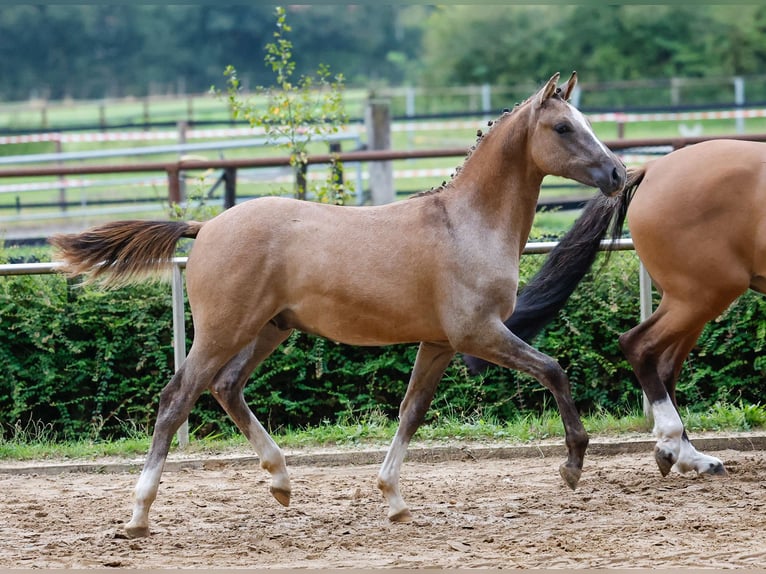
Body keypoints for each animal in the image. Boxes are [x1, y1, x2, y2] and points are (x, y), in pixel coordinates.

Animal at [48, 73, 628, 540]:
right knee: (178, 397)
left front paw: (393, 500)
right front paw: (572, 465)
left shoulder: (439, 343)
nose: (618, 174)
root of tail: (206, 226)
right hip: (223, 330)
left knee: (226, 387)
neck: (465, 224)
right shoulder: (478, 334)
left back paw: (281, 482)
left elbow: (411, 411)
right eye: (563, 128)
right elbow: (552, 370)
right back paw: (139, 514)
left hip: (268, 329)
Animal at [464, 140, 764, 482]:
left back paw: (692, 458)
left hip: (692, 300)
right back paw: (671, 446)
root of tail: (651, 169)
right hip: (702, 296)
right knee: (638, 345)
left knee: (664, 366)